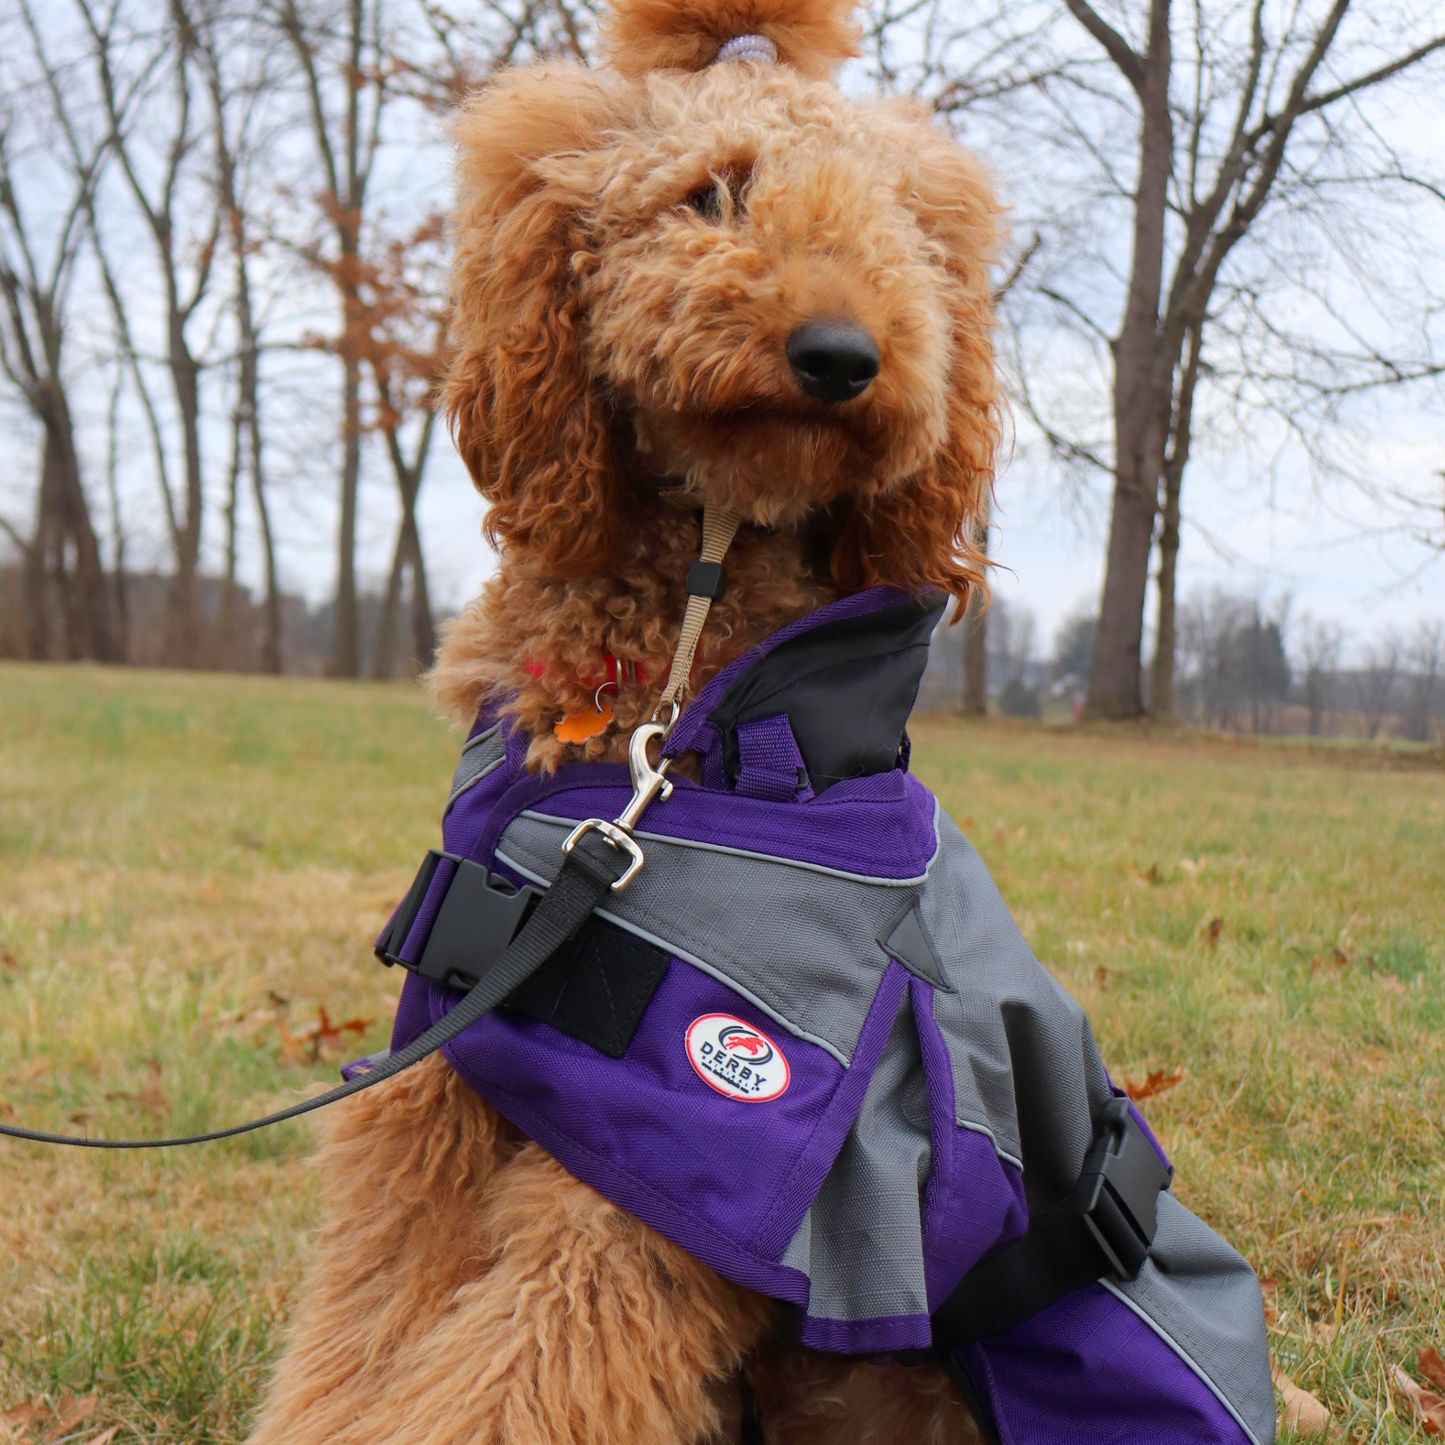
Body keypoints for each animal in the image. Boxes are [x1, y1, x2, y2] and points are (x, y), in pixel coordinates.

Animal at [244, 0, 1002, 1439]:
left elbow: (515, 1371)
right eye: (712, 193)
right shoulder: (455, 1058)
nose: (843, 356)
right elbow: (371, 1321)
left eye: (896, 225)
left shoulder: (660, 1168)